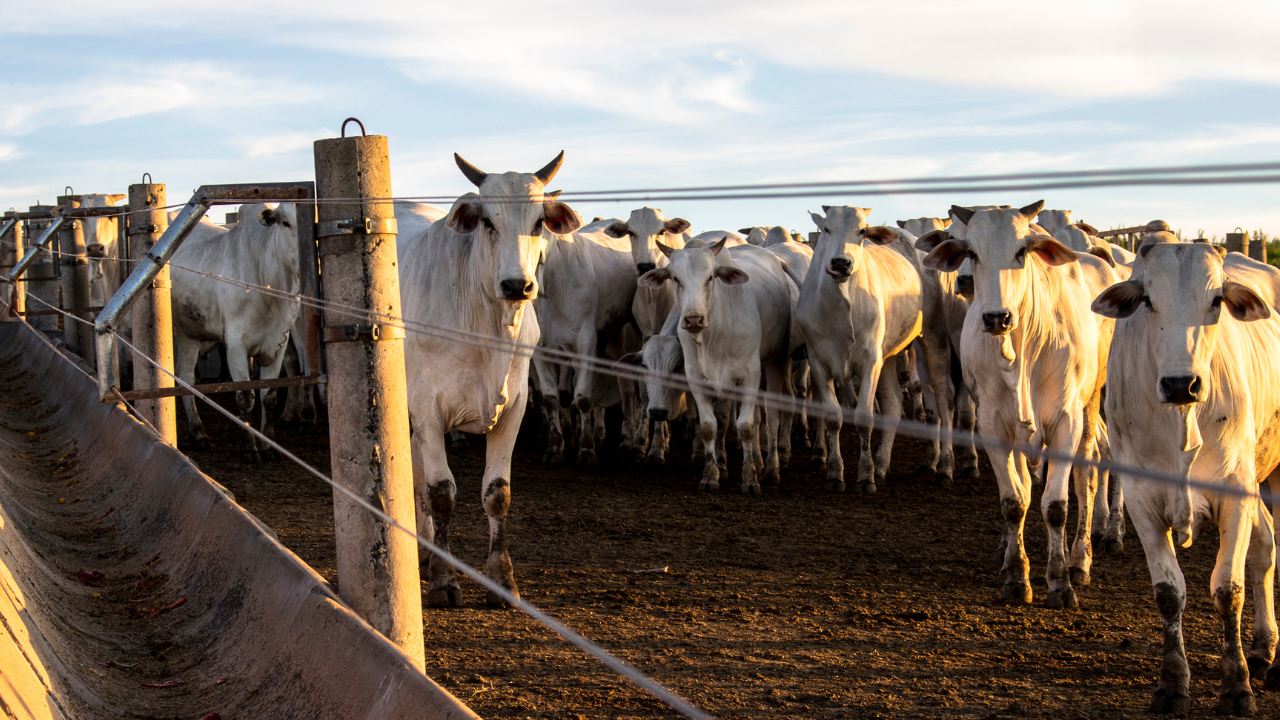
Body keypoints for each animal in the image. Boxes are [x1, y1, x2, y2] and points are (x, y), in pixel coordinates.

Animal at [170, 204, 299, 456]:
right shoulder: (236, 344)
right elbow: (245, 397)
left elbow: (269, 395)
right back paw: (198, 432)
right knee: (185, 376)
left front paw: (269, 444)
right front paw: (248, 447)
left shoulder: (279, 340)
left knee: (186, 376)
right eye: (286, 223)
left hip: (189, 331)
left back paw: (197, 433)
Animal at [640, 238, 798, 489]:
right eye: (674, 277)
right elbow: (710, 426)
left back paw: (771, 468)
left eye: (710, 277)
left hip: (778, 361)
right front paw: (712, 473)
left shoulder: (750, 376)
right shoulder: (698, 380)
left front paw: (749, 478)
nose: (693, 319)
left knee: (773, 415)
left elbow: (745, 427)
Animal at [921, 199, 1121, 604]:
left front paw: (1059, 581)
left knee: (1087, 478)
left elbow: (1056, 506)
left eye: (1021, 251)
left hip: (1091, 406)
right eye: (971, 253)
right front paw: (1016, 574)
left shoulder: (1066, 422)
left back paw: (1080, 560)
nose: (997, 317)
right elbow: (1014, 501)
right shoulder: (994, 425)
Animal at [1090, 237, 1280, 712]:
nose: (1181, 384)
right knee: (1265, 547)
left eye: (1216, 300)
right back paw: (1263, 650)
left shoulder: (1235, 493)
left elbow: (1228, 590)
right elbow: (1169, 593)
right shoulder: (1142, 500)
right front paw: (1173, 683)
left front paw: (1236, 687)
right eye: (1147, 300)